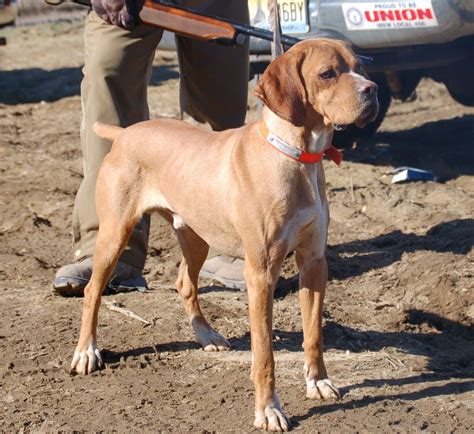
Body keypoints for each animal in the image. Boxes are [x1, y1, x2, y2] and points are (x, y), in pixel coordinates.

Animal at [70, 39, 380, 430]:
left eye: (361, 68)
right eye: (327, 73)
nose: (373, 90)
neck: (294, 155)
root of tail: (125, 133)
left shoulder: (313, 262)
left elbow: (314, 335)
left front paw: (318, 382)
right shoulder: (261, 274)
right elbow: (264, 353)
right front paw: (268, 409)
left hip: (196, 237)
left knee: (185, 282)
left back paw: (206, 334)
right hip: (115, 234)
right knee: (93, 290)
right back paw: (86, 351)